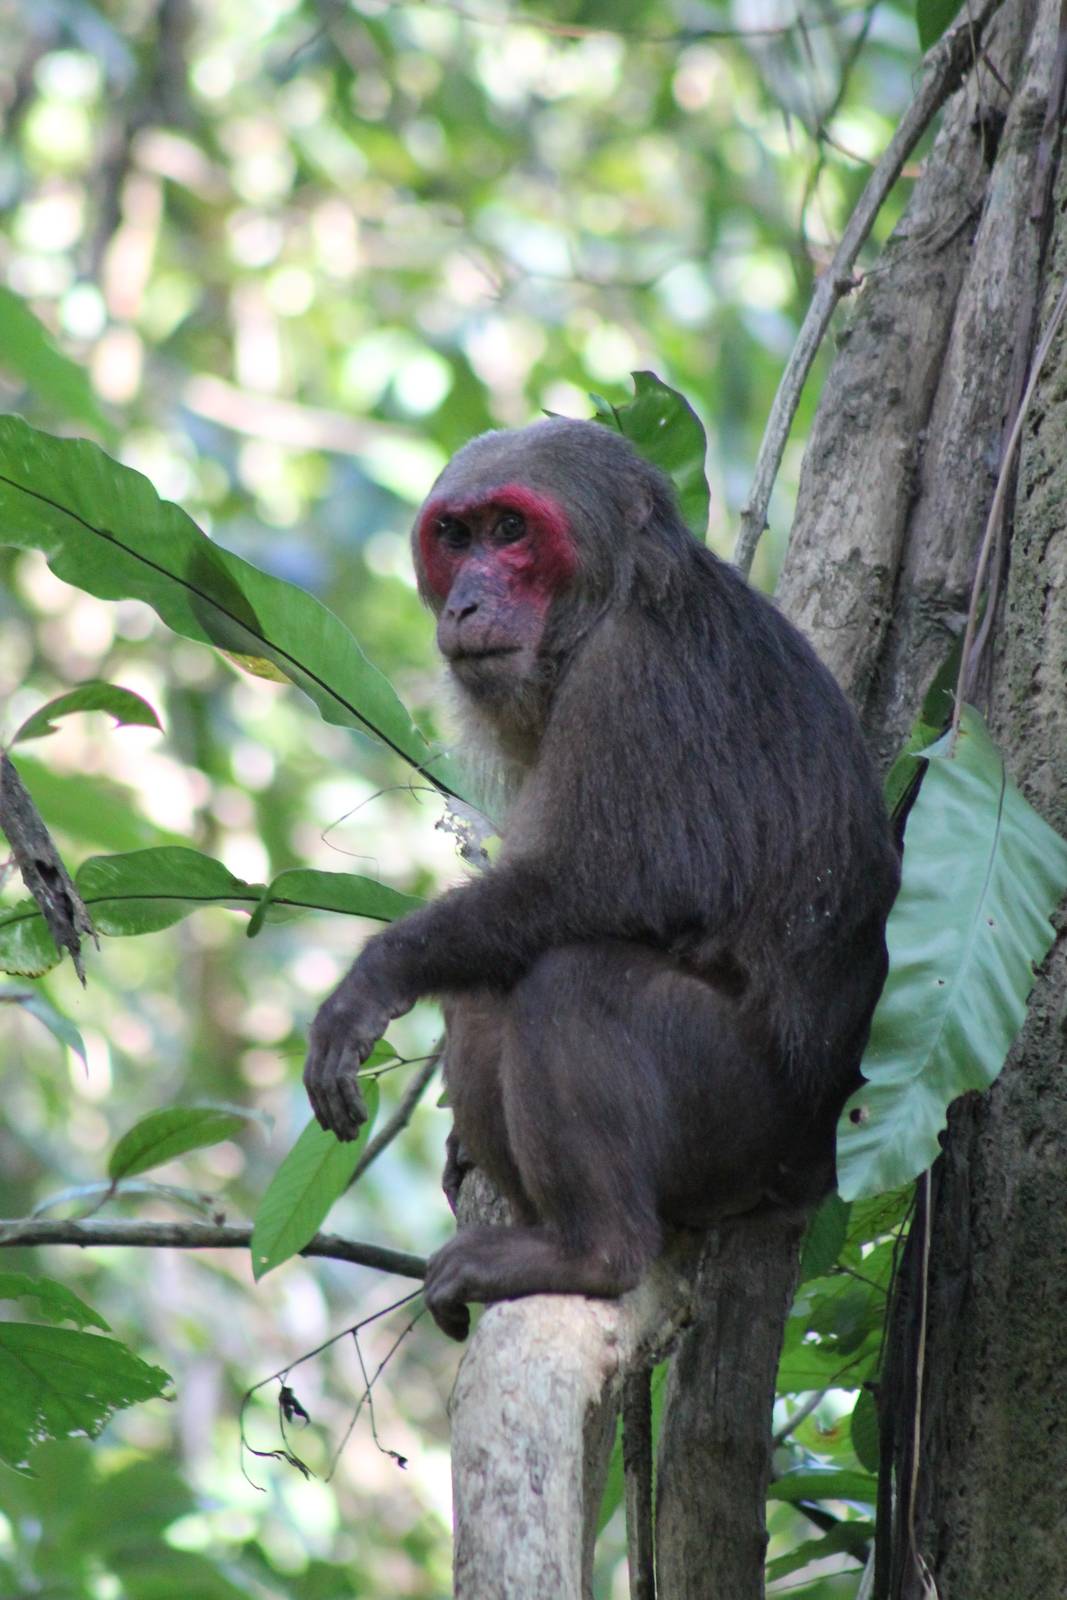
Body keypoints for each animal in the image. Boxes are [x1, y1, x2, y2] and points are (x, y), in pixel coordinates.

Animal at [304, 417, 900, 1340]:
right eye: (456, 538)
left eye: (511, 531)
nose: (465, 602)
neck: (610, 603)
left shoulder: (633, 678)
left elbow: (608, 885)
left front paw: (375, 976)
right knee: (487, 990)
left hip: (746, 1126)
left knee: (573, 980)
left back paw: (593, 1254)